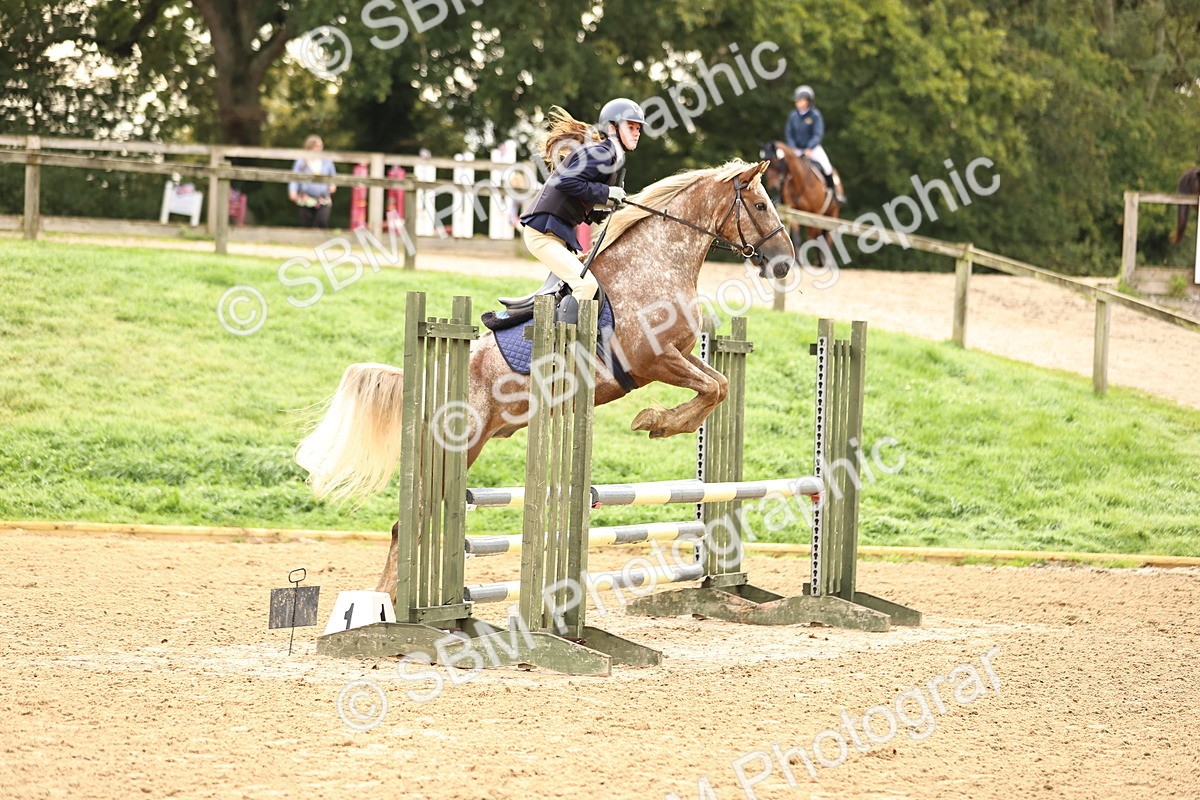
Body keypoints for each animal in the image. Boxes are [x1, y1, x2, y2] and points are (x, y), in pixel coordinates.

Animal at [294, 159, 795, 597]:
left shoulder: (683, 355)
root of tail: (426, 380)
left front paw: (662, 422)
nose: (785, 264)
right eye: (761, 205)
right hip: (452, 448)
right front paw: (655, 421)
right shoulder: (654, 360)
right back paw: (386, 608)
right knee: (409, 524)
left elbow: (719, 386)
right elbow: (711, 388)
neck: (656, 263)